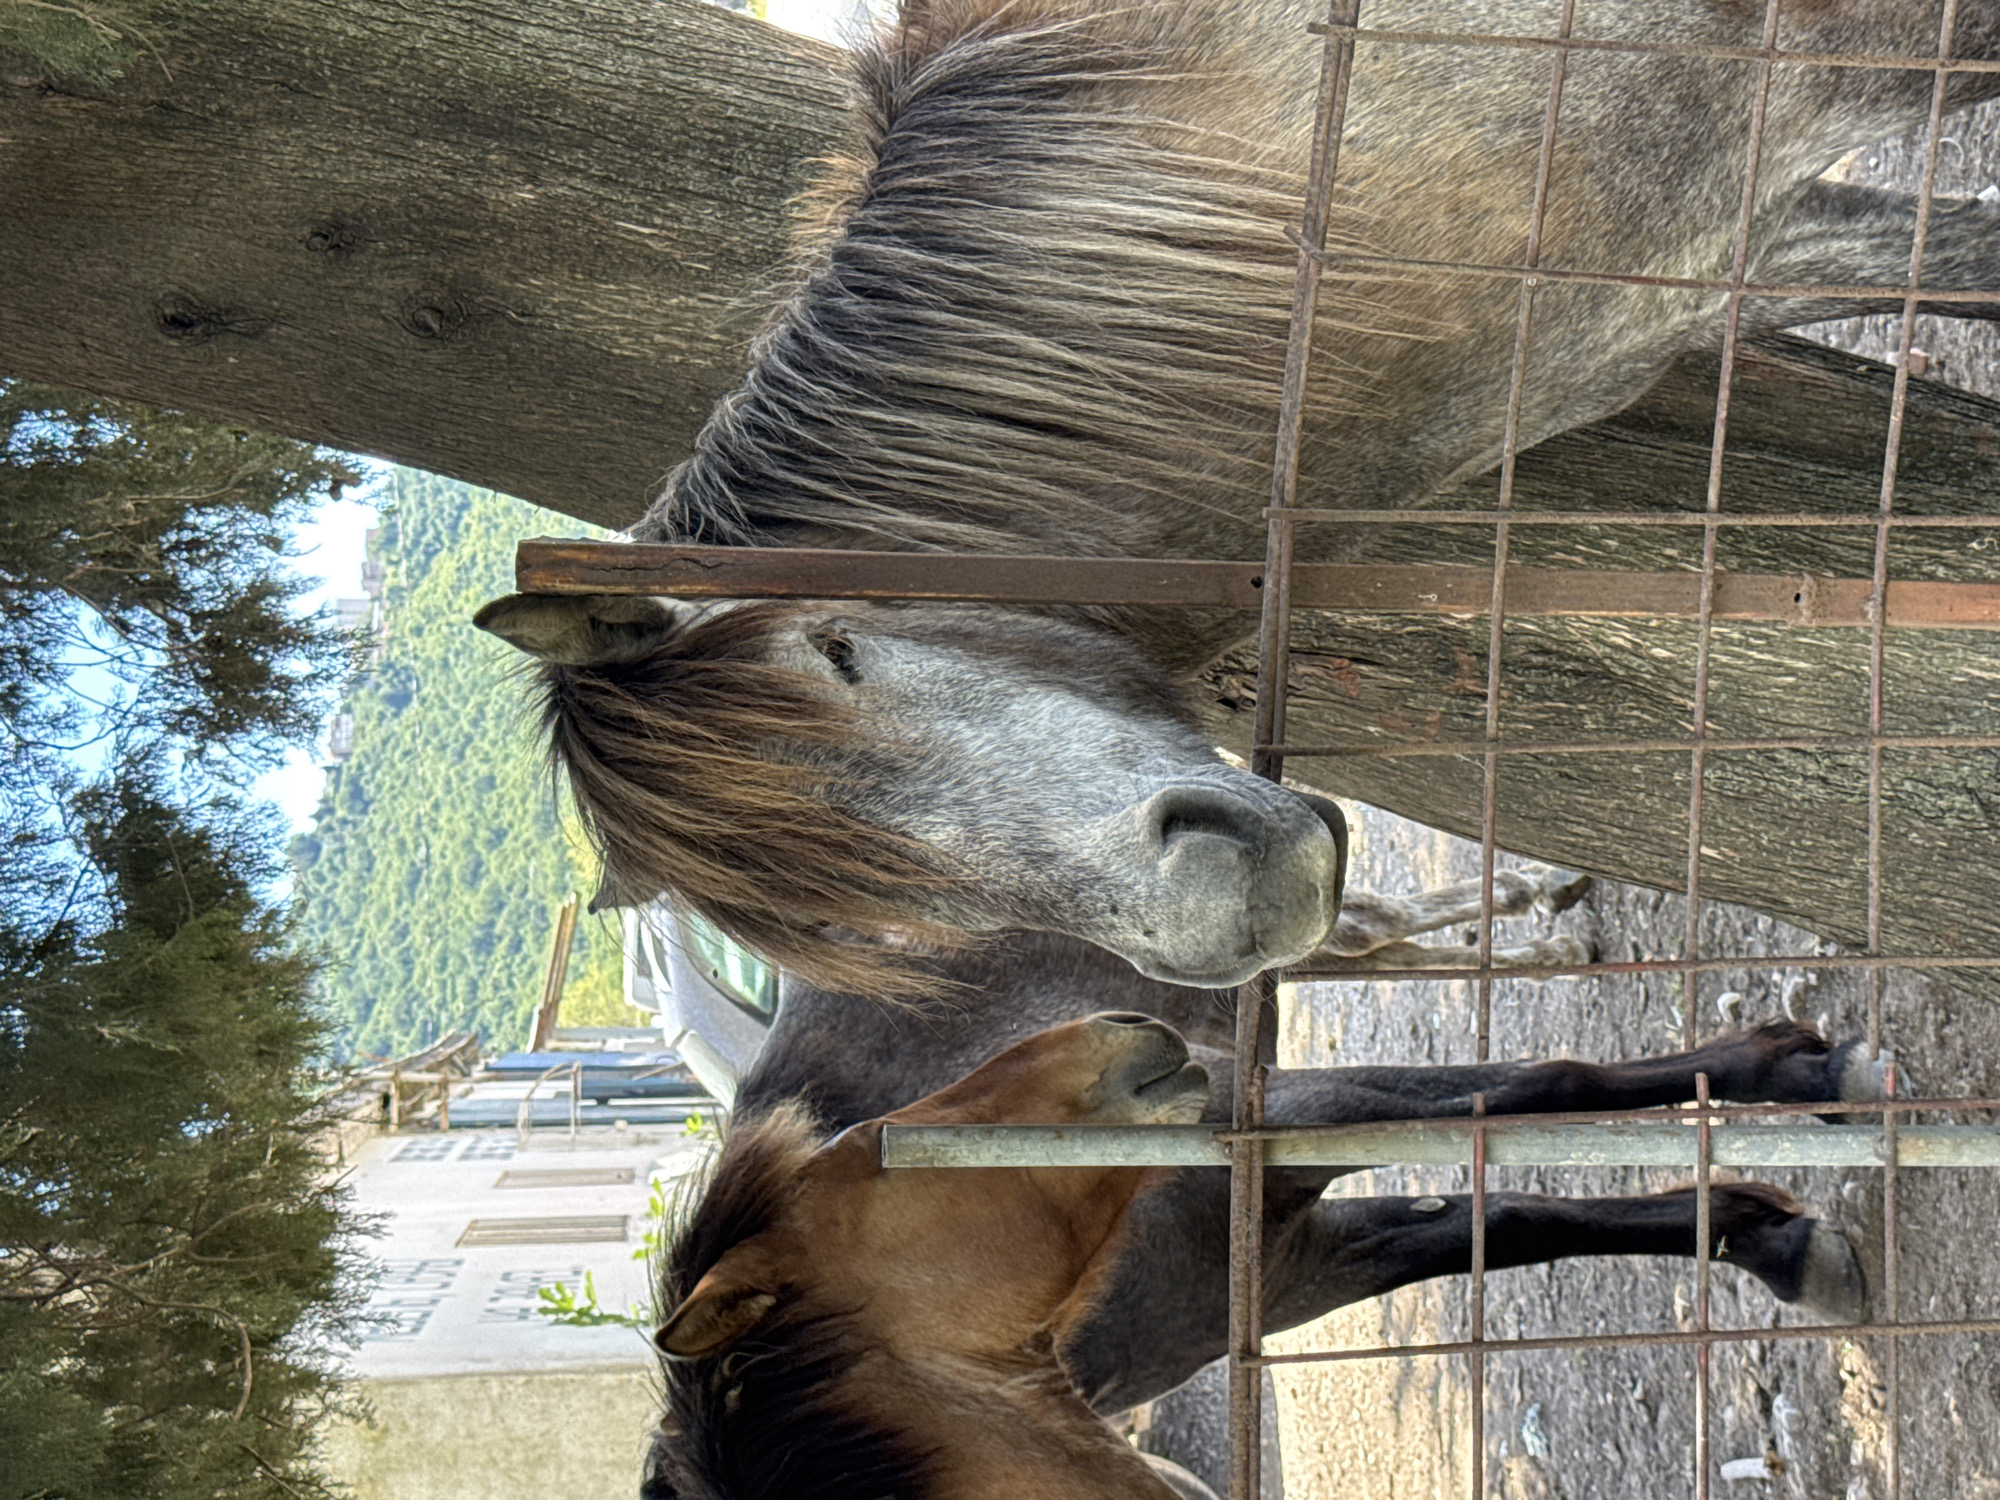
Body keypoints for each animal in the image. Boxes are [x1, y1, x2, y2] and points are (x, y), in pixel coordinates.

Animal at [644, 973, 1888, 1500]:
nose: (1108, 1030)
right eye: (870, 1154)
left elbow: (1539, 1102)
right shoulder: (1302, 1256)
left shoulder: (1286, 1183)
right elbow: (1507, 1203)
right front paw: (1761, 1223)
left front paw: (1787, 1096)